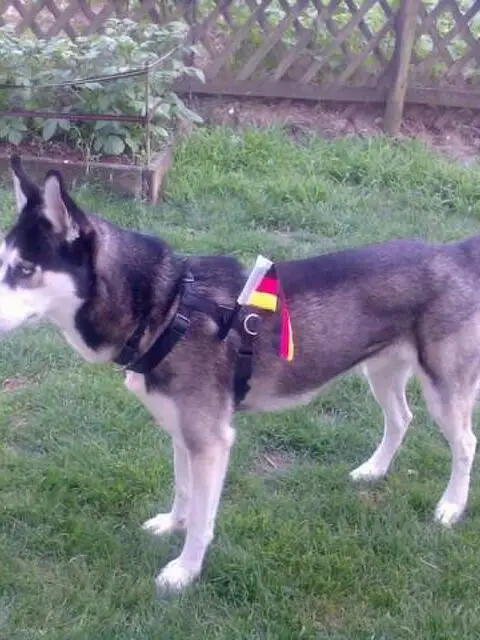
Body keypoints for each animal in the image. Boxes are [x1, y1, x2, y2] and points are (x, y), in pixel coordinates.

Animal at [1, 155, 479, 592]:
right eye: (4, 263)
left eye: (25, 270)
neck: (167, 306)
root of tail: (453, 253)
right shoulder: (182, 431)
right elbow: (183, 491)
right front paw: (171, 524)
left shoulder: (210, 441)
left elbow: (201, 520)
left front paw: (184, 572)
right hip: (380, 373)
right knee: (401, 419)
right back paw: (373, 471)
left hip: (443, 389)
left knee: (465, 444)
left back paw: (451, 507)